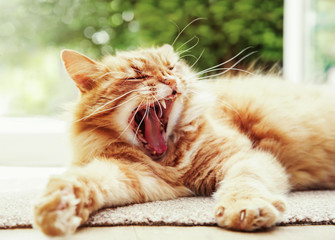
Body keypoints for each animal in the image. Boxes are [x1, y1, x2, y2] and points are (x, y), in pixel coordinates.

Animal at [32, 45, 335, 236]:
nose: (171, 80)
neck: (169, 160)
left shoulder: (243, 158)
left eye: (171, 67)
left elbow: (245, 183)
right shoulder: (138, 176)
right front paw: (60, 204)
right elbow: (89, 181)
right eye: (138, 75)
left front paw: (245, 208)